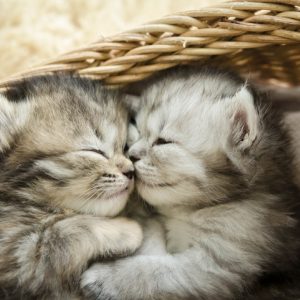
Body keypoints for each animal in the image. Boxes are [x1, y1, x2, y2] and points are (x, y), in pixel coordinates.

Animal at [0, 76, 142, 300]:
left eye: (125, 147)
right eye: (94, 151)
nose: (131, 172)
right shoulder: (18, 255)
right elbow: (63, 232)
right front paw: (127, 230)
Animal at [81, 67, 300, 300]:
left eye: (163, 141)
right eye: (137, 133)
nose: (132, 155)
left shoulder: (225, 261)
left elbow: (158, 273)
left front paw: (106, 278)